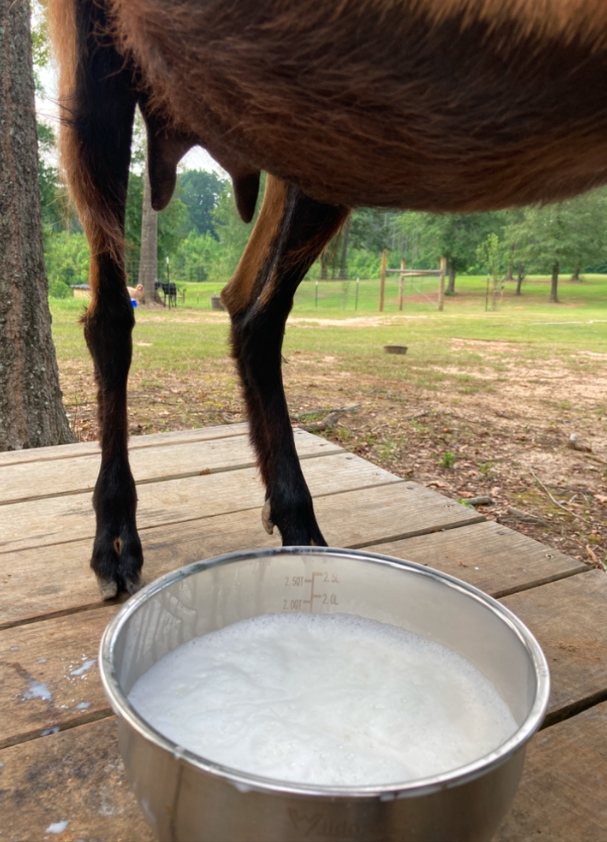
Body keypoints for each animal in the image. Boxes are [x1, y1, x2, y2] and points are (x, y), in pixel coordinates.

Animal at [48, 0, 607, 597]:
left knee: (250, 308)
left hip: (309, 138)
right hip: (104, 64)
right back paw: (116, 535)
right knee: (114, 319)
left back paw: (298, 523)